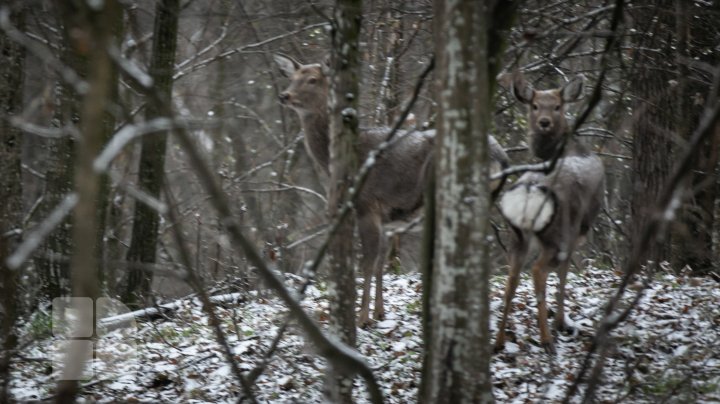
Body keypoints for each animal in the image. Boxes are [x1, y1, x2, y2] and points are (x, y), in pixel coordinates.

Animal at [272, 53, 510, 326]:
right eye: (291, 77)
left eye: (312, 79)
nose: (284, 95)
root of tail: (502, 158)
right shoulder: (388, 220)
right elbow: (380, 264)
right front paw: (380, 312)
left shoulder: (367, 204)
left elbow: (367, 262)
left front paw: (363, 317)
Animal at [492, 72, 604, 354]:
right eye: (534, 105)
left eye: (556, 106)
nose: (544, 122)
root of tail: (529, 192)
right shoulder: (577, 229)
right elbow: (564, 275)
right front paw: (562, 322)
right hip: (557, 232)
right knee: (539, 271)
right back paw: (546, 339)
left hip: (516, 236)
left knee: (511, 280)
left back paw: (498, 342)